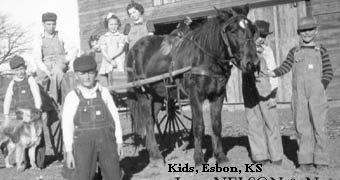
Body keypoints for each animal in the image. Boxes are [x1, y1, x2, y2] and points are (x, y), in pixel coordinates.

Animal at [126, 4, 258, 167]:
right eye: (233, 31)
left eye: (252, 30)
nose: (253, 63)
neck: (205, 57)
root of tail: (134, 49)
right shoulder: (195, 95)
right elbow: (198, 126)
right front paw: (199, 159)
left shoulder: (218, 95)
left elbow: (216, 125)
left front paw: (220, 156)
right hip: (142, 94)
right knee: (149, 122)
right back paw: (156, 156)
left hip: (158, 95)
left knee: (150, 118)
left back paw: (152, 153)